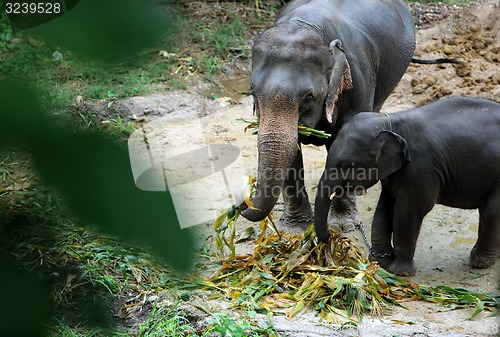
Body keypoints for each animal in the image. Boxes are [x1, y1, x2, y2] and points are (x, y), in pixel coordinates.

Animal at [238, 0, 414, 228]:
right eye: (252, 90)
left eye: (309, 96)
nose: (242, 205)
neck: (308, 25)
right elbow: (291, 150)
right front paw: (295, 227)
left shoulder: (358, 79)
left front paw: (343, 224)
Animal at [316, 96, 500, 274]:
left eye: (344, 164)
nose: (330, 238)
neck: (389, 122)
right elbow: (385, 208)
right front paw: (379, 262)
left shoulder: (420, 167)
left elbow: (408, 211)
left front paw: (400, 272)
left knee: (490, 211)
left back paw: (480, 263)